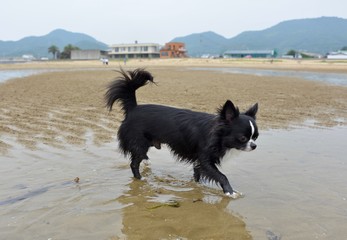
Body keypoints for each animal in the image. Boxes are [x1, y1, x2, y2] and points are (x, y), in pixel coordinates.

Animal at [105, 68, 258, 198]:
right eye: (243, 138)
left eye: (255, 137)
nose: (254, 146)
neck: (218, 136)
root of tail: (133, 108)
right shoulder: (205, 159)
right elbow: (222, 176)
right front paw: (230, 192)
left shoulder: (200, 161)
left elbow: (198, 173)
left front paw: (197, 186)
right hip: (140, 143)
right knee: (134, 163)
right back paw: (140, 179)